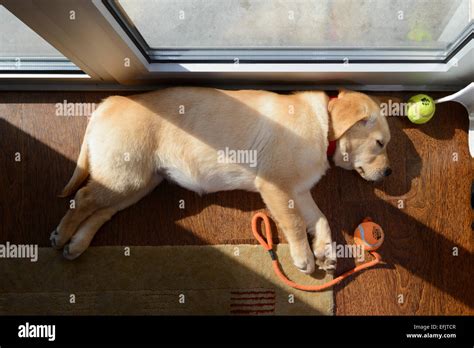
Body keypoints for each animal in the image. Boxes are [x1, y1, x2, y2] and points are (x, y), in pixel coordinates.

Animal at [51, 88, 392, 274]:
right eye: (380, 143)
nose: (389, 173)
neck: (326, 127)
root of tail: (107, 102)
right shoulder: (277, 186)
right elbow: (295, 224)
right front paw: (304, 257)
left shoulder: (298, 190)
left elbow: (320, 219)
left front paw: (325, 251)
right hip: (126, 176)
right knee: (83, 198)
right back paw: (62, 235)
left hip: (138, 182)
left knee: (101, 210)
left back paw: (77, 244)